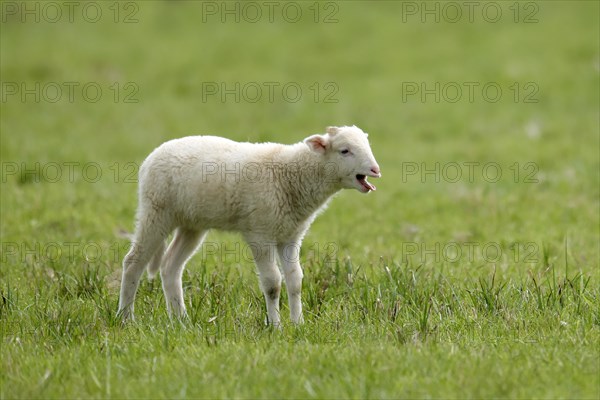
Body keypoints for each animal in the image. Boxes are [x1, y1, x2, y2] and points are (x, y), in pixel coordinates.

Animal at [118, 125, 380, 324]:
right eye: (345, 150)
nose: (375, 170)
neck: (292, 175)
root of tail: (151, 157)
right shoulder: (259, 231)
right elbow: (273, 283)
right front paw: (275, 326)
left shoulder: (291, 234)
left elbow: (295, 280)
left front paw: (298, 324)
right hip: (156, 211)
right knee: (133, 262)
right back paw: (126, 318)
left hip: (191, 223)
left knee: (170, 266)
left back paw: (181, 320)